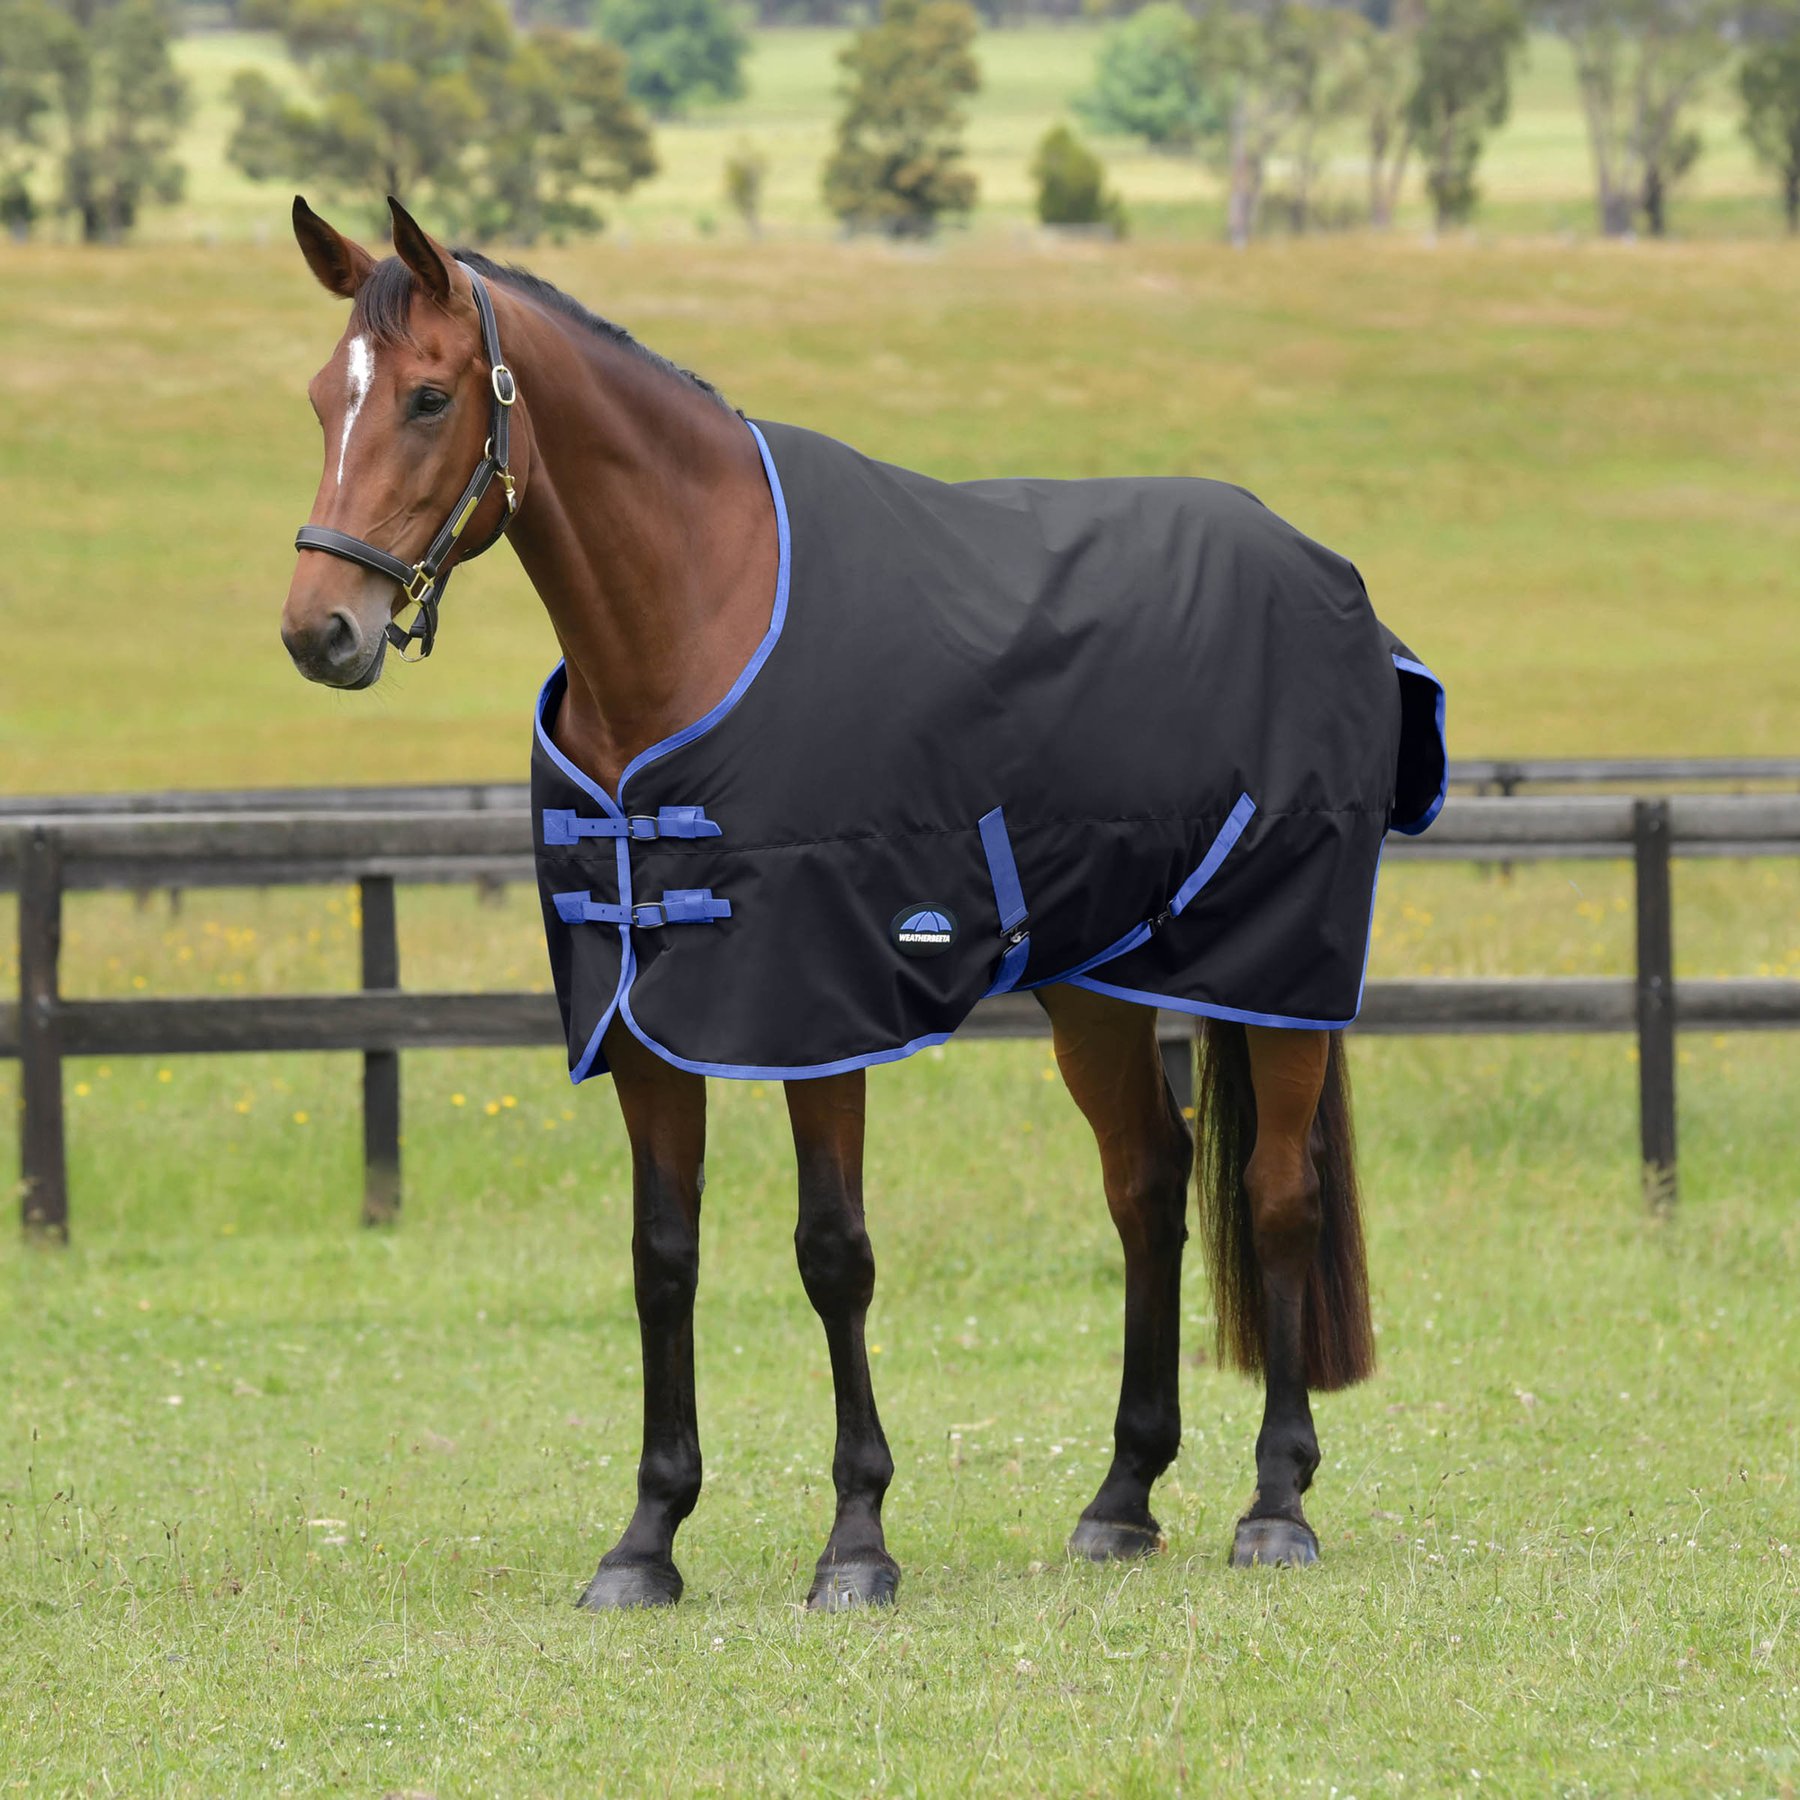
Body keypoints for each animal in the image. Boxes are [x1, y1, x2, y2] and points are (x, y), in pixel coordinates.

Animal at [278, 196, 1445, 1611]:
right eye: (319, 401)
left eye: (432, 397)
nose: (319, 630)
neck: (696, 625)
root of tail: (1325, 571)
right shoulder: (641, 1023)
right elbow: (661, 1256)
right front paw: (647, 1539)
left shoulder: (815, 1011)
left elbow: (833, 1252)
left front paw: (857, 1540)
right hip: (1096, 984)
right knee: (1148, 1185)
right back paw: (1121, 1496)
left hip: (1275, 973)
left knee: (1277, 1194)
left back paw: (1275, 1502)